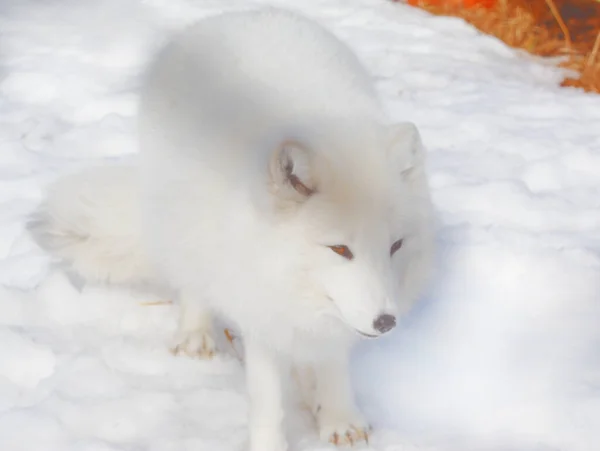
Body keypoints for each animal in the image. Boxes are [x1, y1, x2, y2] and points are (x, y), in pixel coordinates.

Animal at [28, 7, 434, 451]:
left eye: (396, 246)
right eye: (340, 249)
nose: (386, 322)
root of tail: (240, 13)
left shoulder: (331, 319)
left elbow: (332, 365)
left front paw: (339, 419)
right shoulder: (260, 308)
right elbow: (268, 401)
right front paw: (272, 442)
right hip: (185, 227)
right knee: (192, 282)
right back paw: (194, 335)